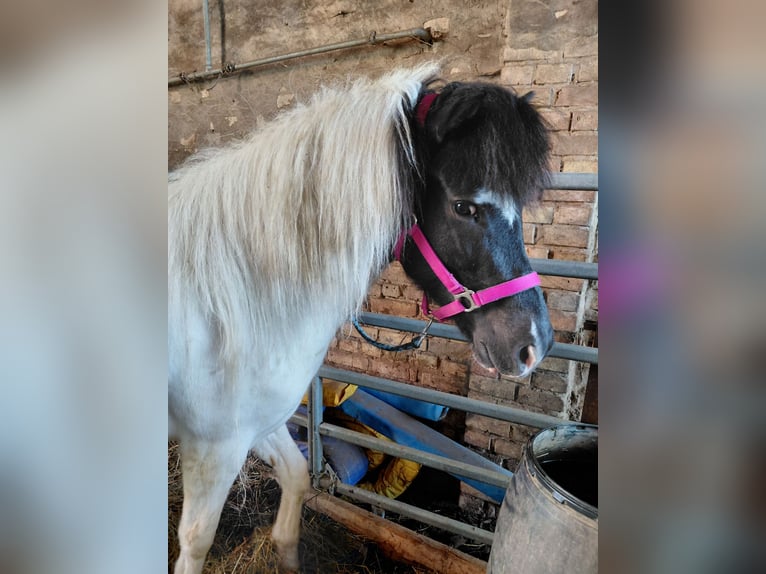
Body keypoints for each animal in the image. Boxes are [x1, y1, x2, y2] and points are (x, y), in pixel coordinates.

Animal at [168, 63, 553, 573]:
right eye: (463, 207)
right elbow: (195, 541)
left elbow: (297, 477)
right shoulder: (214, 447)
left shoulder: (260, 423)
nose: (534, 344)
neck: (228, 301)